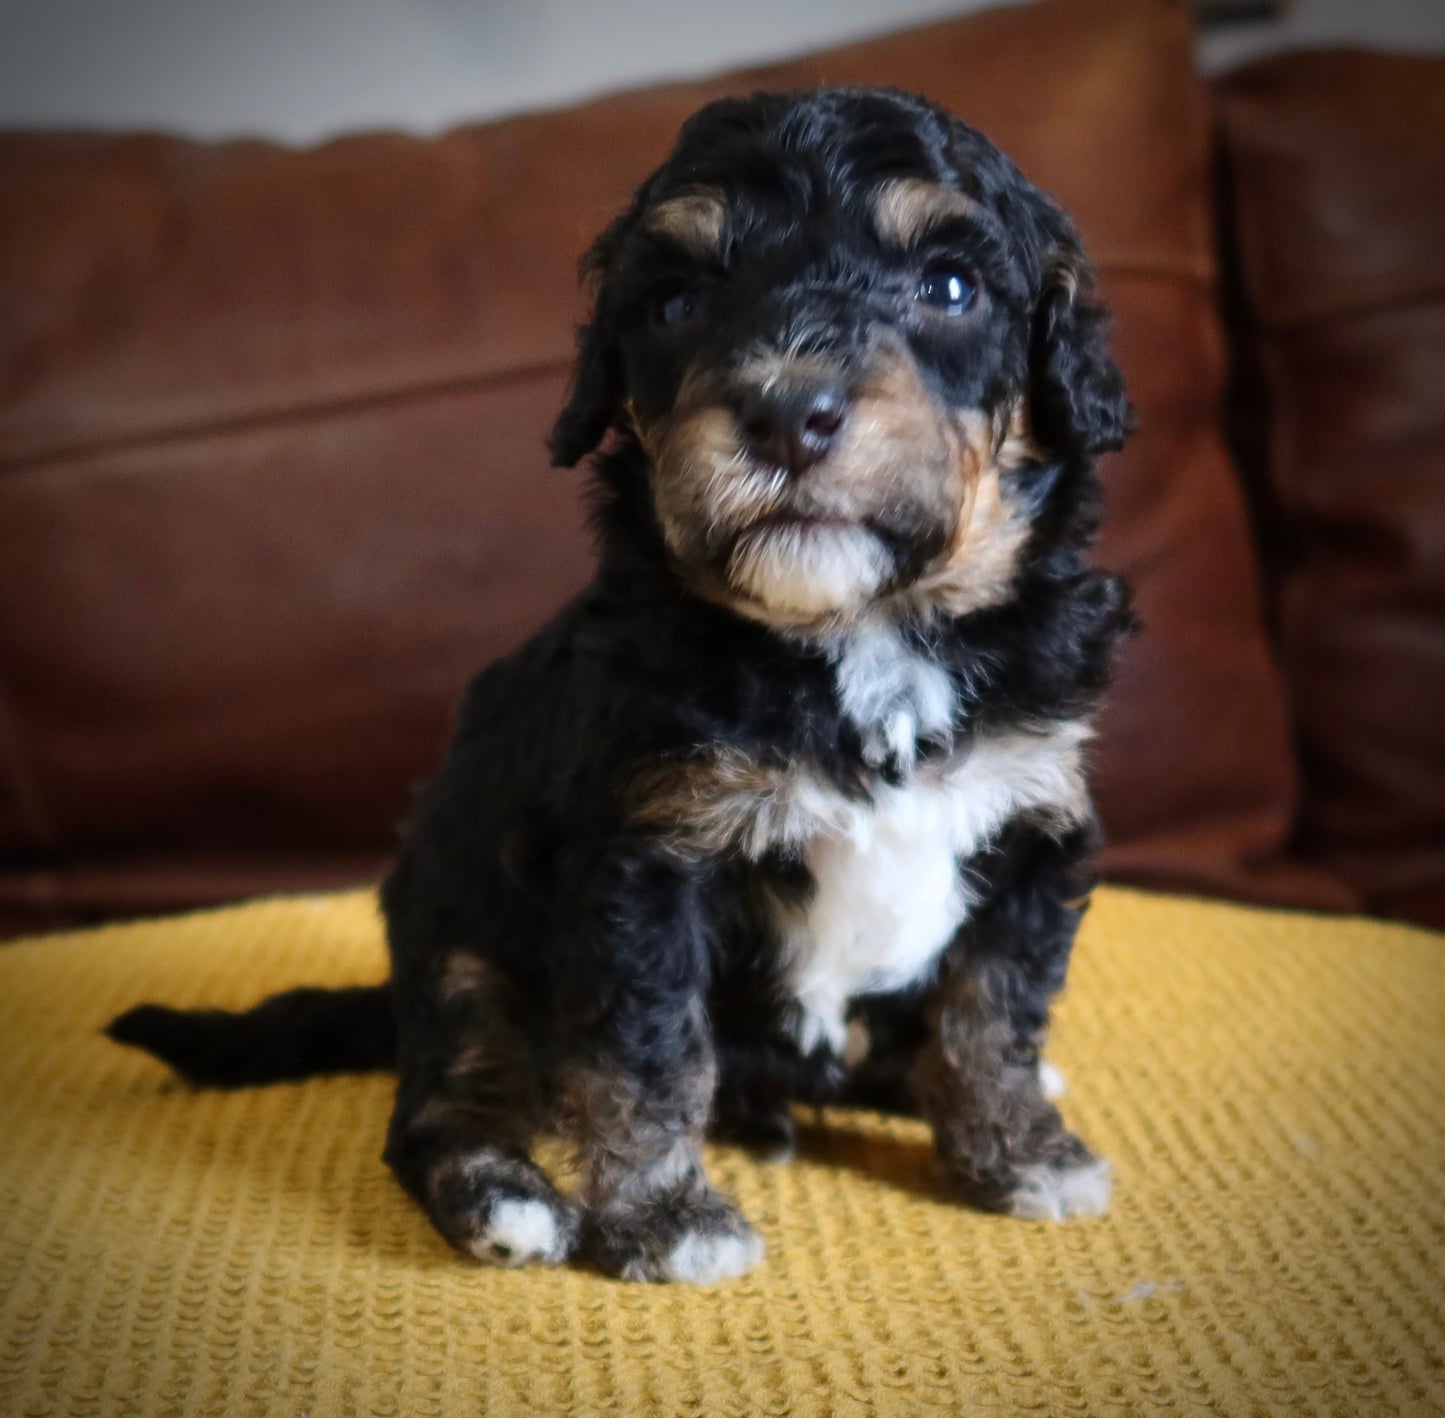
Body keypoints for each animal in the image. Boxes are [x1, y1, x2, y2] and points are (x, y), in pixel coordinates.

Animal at [109, 85, 1127, 1283]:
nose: (787, 412)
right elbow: (647, 1056)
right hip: (464, 948)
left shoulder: (1032, 819)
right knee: (444, 1104)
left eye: (950, 287)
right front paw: (664, 1219)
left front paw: (1020, 1155)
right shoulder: (642, 861)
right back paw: (503, 1196)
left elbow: (993, 1011)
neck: (863, 632)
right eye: (676, 301)